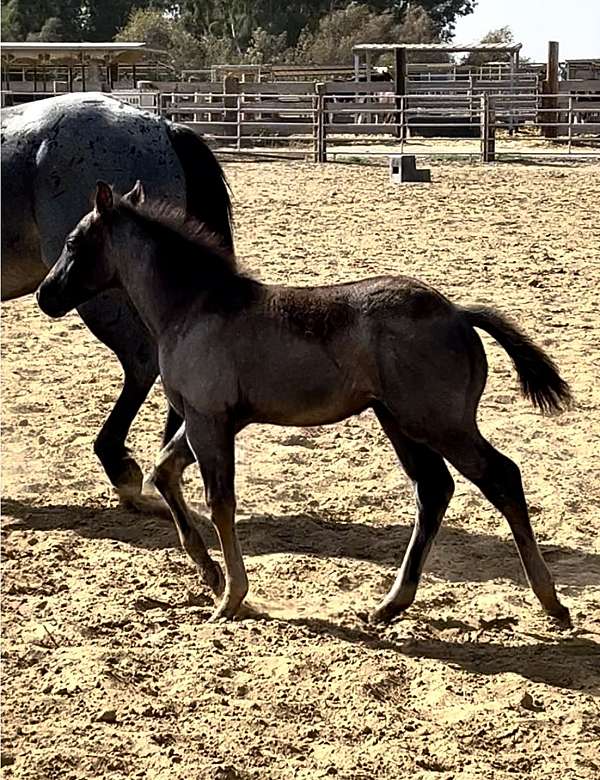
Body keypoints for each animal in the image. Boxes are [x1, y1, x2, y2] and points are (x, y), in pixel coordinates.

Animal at [1, 93, 233, 506]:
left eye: (74, 243)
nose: (45, 295)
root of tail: (162, 126)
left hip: (101, 300)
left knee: (142, 362)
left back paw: (121, 466)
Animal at [37, 181, 572, 620]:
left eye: (72, 243)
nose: (45, 296)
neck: (194, 307)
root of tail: (459, 313)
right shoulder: (207, 421)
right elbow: (164, 473)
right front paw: (210, 575)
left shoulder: (210, 421)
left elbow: (220, 502)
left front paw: (231, 597)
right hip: (400, 423)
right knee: (433, 490)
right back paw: (390, 604)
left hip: (439, 424)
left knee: (502, 477)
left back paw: (550, 600)